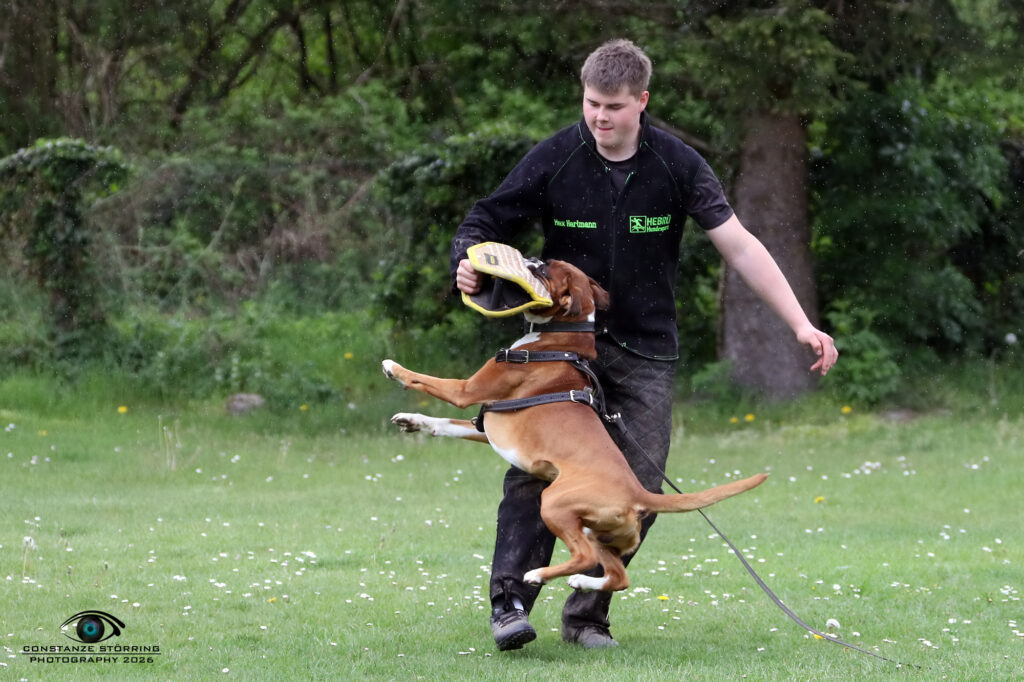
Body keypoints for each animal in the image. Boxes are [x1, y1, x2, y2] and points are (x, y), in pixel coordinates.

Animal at [381, 259, 767, 593]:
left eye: (547, 269)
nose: (533, 259)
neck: (560, 338)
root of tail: (636, 492)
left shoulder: (465, 391)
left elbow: (426, 380)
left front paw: (393, 368)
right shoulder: (483, 425)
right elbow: (444, 424)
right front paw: (413, 421)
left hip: (554, 503)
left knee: (582, 556)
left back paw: (538, 574)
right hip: (600, 533)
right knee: (618, 577)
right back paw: (582, 582)